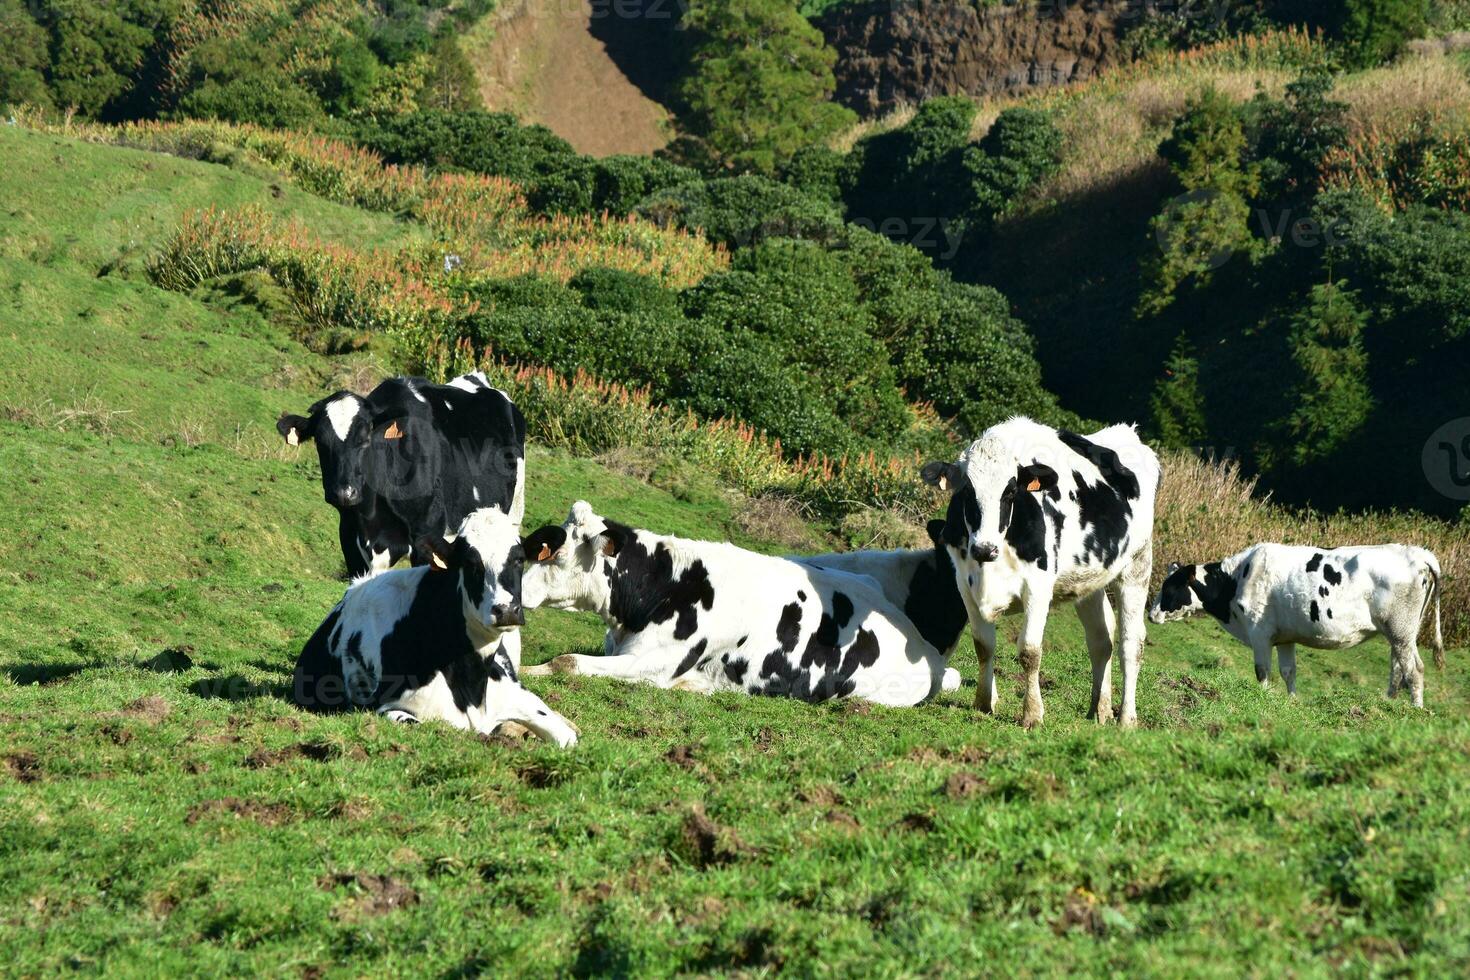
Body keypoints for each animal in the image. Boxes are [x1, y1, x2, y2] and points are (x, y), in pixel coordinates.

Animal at [277, 371, 526, 578]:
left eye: (365, 437)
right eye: (319, 441)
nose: (344, 494)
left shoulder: (427, 539)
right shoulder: (350, 541)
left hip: (512, 513)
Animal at [291, 505, 573, 743]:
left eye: (519, 559)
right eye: (469, 562)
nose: (506, 611)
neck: (472, 682)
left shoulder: (516, 694)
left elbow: (567, 736)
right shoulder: (384, 706)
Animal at [517, 505, 952, 705]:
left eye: (557, 556)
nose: (516, 593)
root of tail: (926, 648)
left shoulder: (655, 662)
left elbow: (567, 661)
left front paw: (526, 670)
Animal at [929, 417, 1158, 731]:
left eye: (1010, 491)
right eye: (966, 492)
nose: (984, 548)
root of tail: (1127, 432)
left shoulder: (1038, 586)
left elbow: (1030, 651)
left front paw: (1032, 714)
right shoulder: (964, 583)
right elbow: (983, 645)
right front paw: (983, 704)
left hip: (1137, 564)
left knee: (1131, 642)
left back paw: (1126, 718)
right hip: (1088, 579)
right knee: (1100, 638)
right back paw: (1099, 710)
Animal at [1146, 540, 1446, 708]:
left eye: (1170, 587)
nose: (1151, 614)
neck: (1237, 579)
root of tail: (1417, 553)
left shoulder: (1260, 632)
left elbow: (1262, 671)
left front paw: (1263, 697)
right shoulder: (1285, 637)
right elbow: (1289, 671)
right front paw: (1292, 701)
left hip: (1400, 629)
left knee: (1414, 670)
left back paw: (1416, 709)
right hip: (1402, 633)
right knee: (1398, 669)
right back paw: (1390, 704)